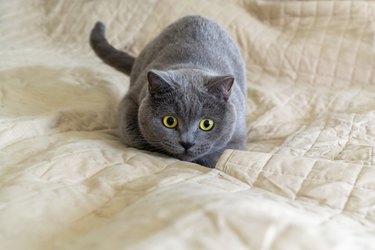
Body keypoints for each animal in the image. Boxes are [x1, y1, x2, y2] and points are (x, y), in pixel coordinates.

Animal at [89, 15, 245, 168]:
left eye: (207, 124)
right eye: (169, 121)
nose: (187, 143)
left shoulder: (237, 137)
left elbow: (218, 156)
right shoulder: (131, 100)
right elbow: (134, 136)